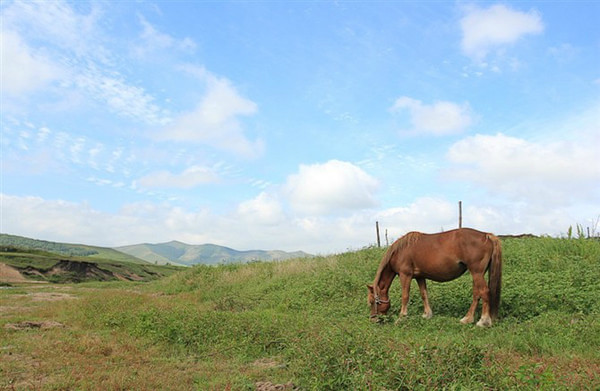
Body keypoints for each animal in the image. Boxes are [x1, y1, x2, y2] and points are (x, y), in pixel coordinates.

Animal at [366, 228, 502, 326]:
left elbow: (405, 296)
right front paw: (427, 315)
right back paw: (467, 319)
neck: (400, 251)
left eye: (373, 302)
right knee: (476, 294)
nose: (373, 319)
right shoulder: (420, 277)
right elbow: (424, 294)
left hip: (477, 273)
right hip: (477, 274)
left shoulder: (405, 275)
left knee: (484, 292)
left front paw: (401, 318)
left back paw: (483, 321)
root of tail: (486, 235)